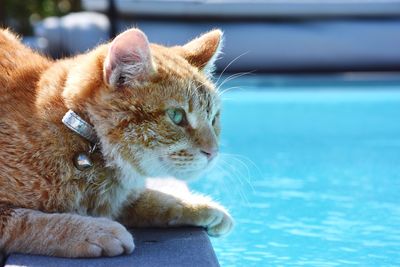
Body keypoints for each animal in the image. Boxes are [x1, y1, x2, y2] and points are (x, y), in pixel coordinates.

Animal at [0, 26, 233, 258]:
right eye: (176, 116)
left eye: (213, 118)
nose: (214, 151)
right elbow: (31, 222)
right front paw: (94, 230)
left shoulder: (119, 200)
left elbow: (156, 199)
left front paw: (198, 204)